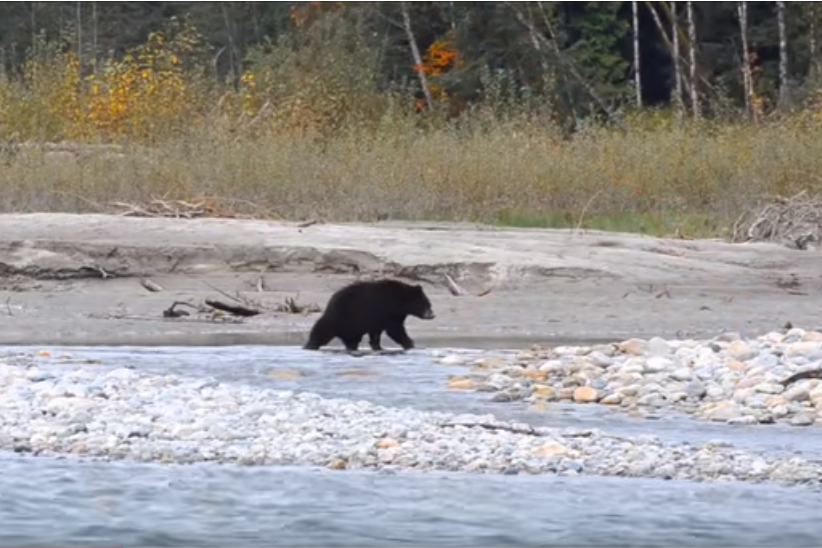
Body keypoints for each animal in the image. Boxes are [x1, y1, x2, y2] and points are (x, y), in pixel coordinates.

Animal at [303, 279, 435, 352]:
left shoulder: (379, 318)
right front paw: (410, 344)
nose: (432, 315)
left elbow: (376, 333)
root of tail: (331, 301)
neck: (400, 302)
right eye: (426, 304)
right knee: (323, 329)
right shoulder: (387, 311)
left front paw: (377, 346)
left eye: (429, 304)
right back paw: (310, 345)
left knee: (351, 339)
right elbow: (395, 330)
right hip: (343, 316)